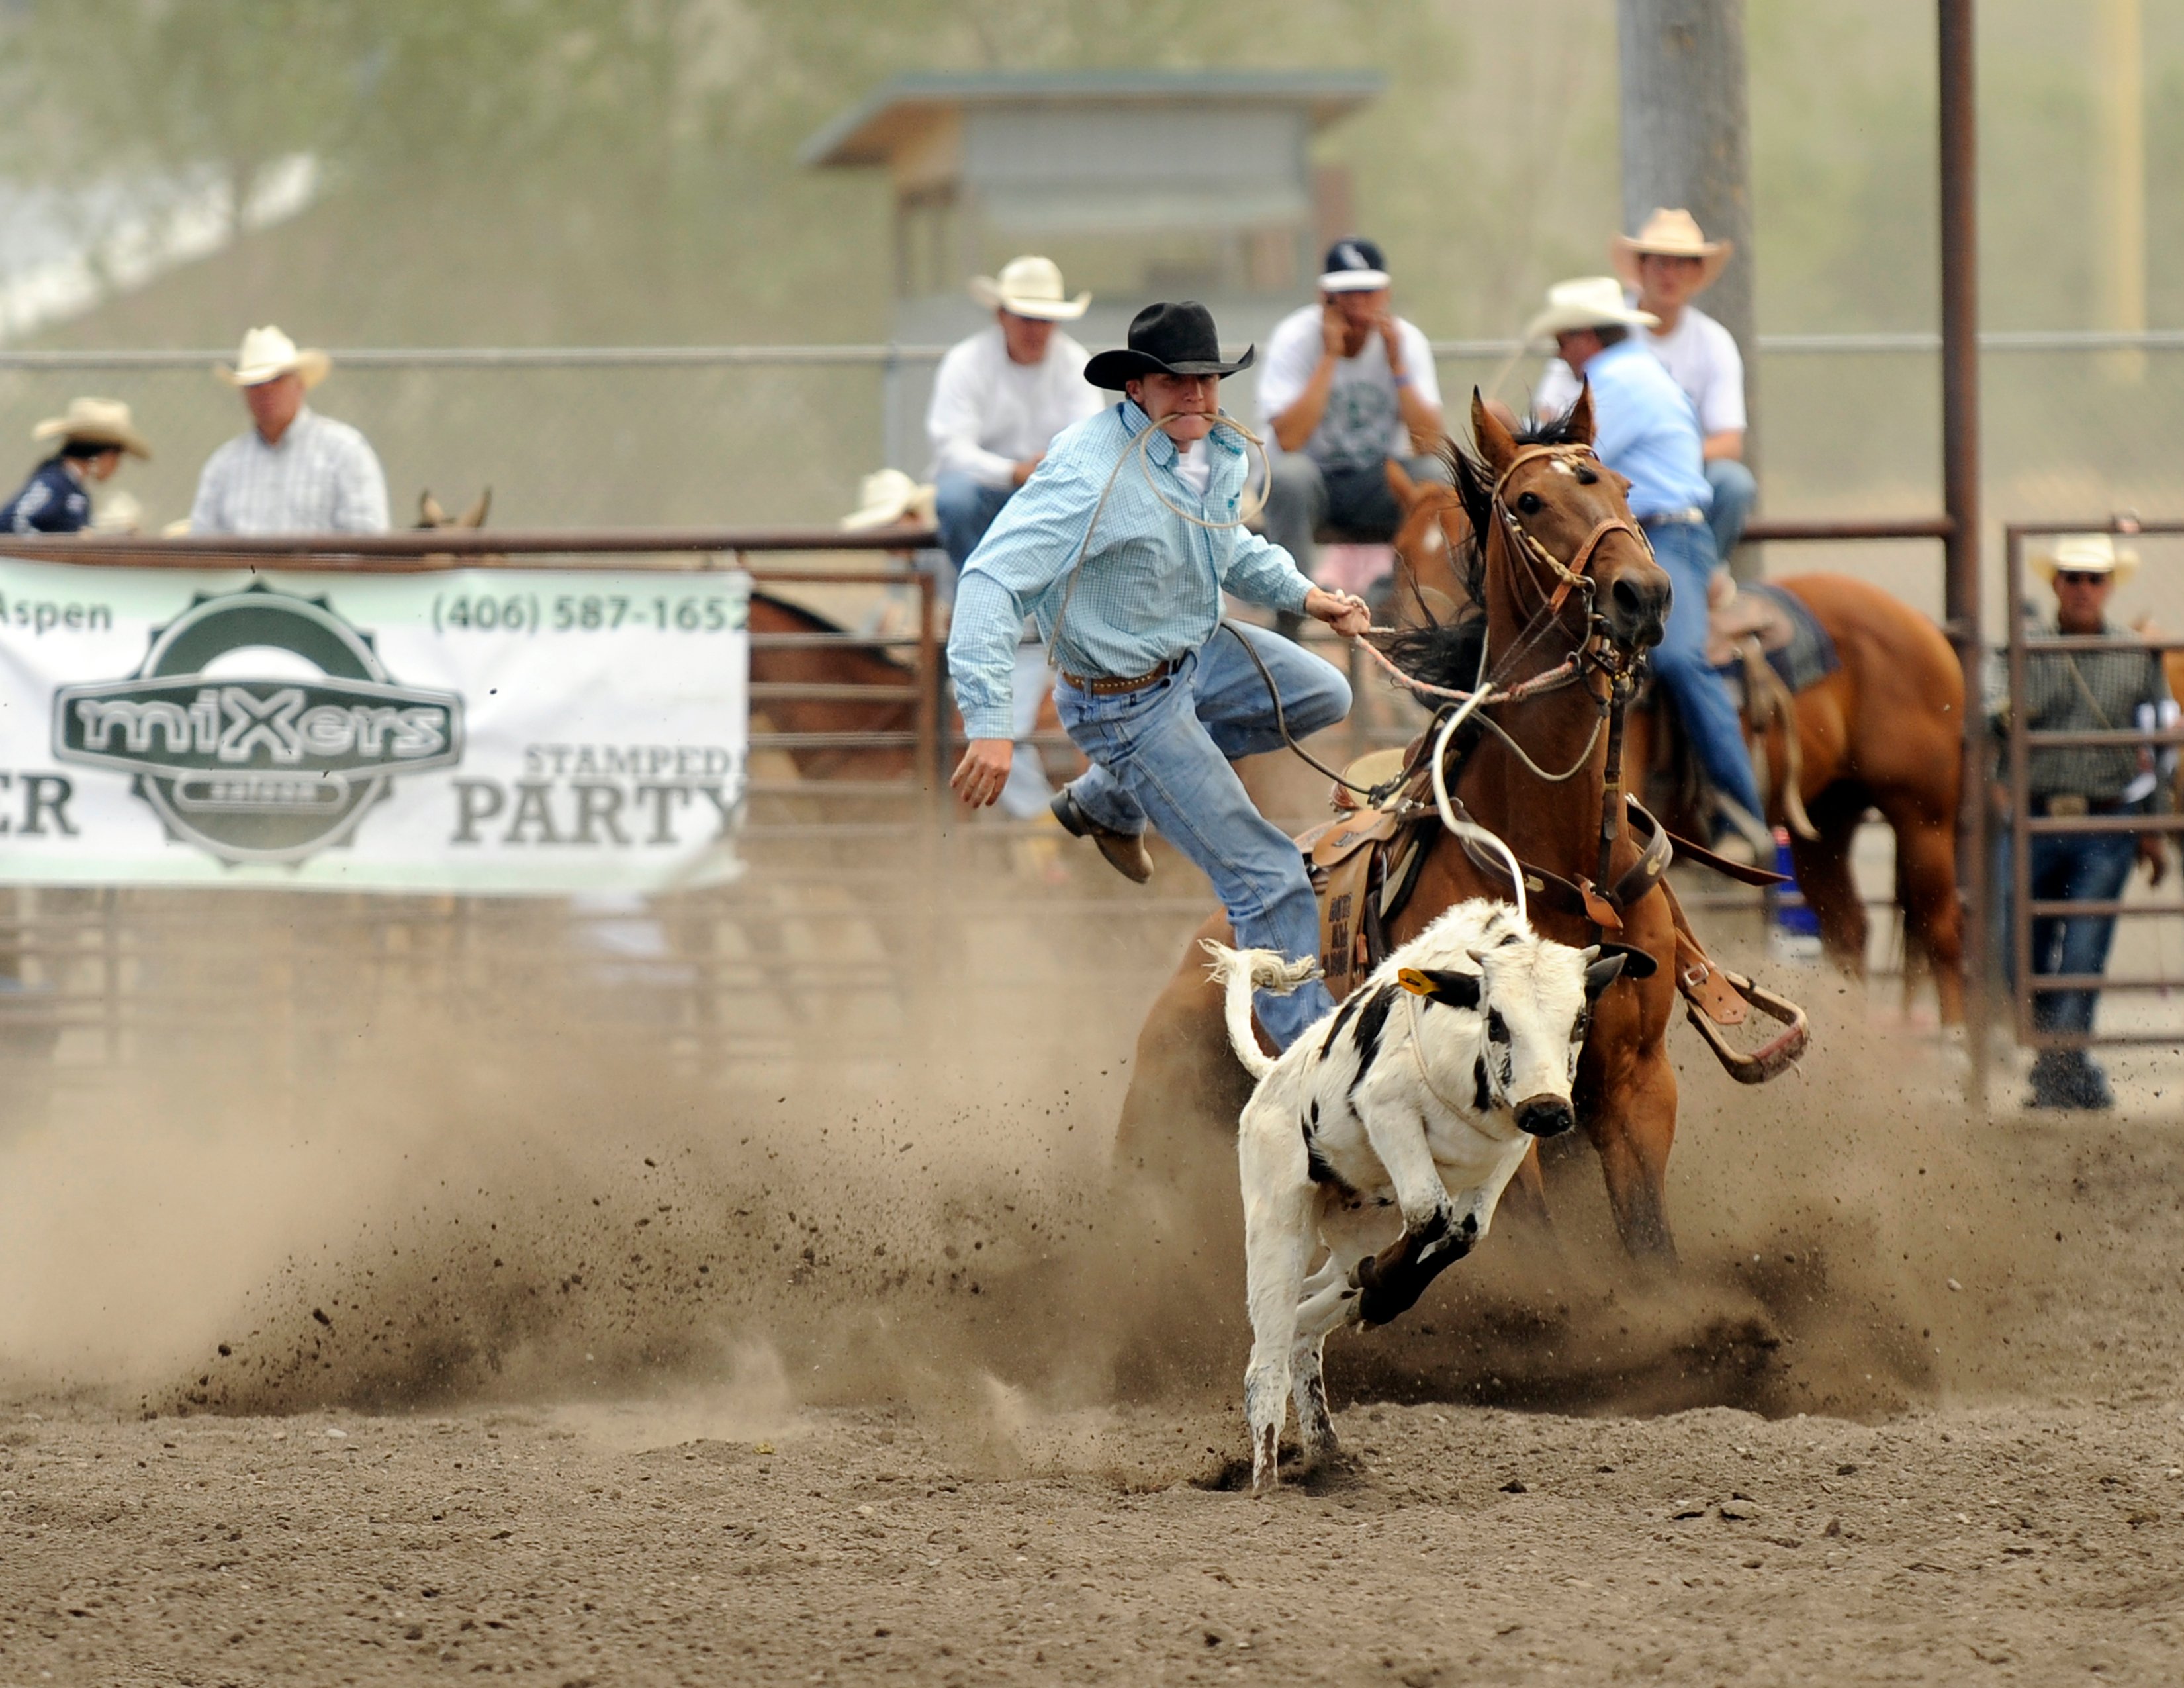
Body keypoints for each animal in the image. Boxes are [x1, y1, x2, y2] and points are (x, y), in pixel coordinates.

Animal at [1126, 395, 1686, 1258]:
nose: (1643, 594)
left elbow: (1651, 1249)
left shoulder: (1640, 1086)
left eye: (1624, 486)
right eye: (1531, 502)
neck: (1557, 865)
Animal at [1205, 895, 1642, 1485]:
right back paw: (1266, 1480)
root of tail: (1272, 1076)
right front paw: (1382, 1287)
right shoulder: (1389, 1112)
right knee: (1266, 1361)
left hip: (1353, 1228)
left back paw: (1328, 1453)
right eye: (1496, 1020)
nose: (1549, 1111)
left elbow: (1463, 1233)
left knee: (1305, 1330)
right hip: (1279, 1221)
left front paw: (1381, 1293)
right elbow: (1429, 1212)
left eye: (1580, 1020)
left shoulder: (1507, 1154)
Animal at [1388, 454, 1974, 1021]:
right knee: (1849, 928)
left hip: (1921, 812)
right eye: (1402, 551)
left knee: (1941, 930)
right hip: (1829, 819)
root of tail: (1922, 624)